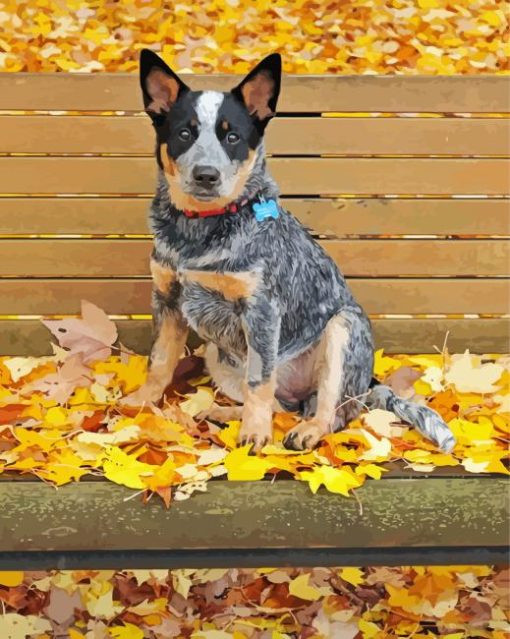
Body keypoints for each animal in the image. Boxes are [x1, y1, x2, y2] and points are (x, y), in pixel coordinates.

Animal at [122, 51, 454, 456]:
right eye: (185, 132)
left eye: (232, 136)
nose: (206, 175)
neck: (199, 232)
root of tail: (368, 384)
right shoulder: (168, 299)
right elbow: (159, 361)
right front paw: (140, 403)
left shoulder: (262, 310)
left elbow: (258, 382)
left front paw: (254, 435)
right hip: (217, 354)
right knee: (281, 406)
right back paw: (224, 412)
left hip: (344, 330)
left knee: (331, 412)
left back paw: (306, 430)